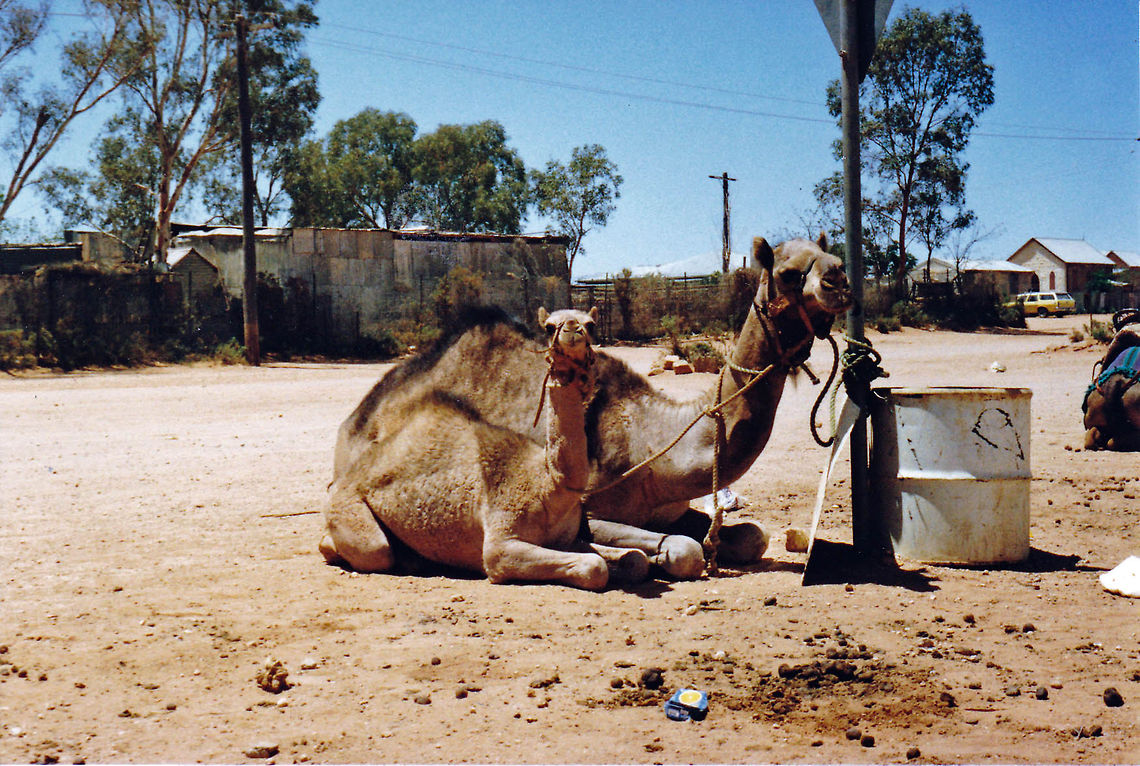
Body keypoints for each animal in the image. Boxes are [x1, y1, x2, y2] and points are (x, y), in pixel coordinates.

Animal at [318, 306, 645, 590]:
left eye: (590, 324)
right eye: (549, 327)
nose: (573, 330)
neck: (551, 484)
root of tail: (342, 480)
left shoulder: (567, 539)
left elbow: (637, 560)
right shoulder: (502, 544)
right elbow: (594, 566)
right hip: (347, 507)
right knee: (372, 549)